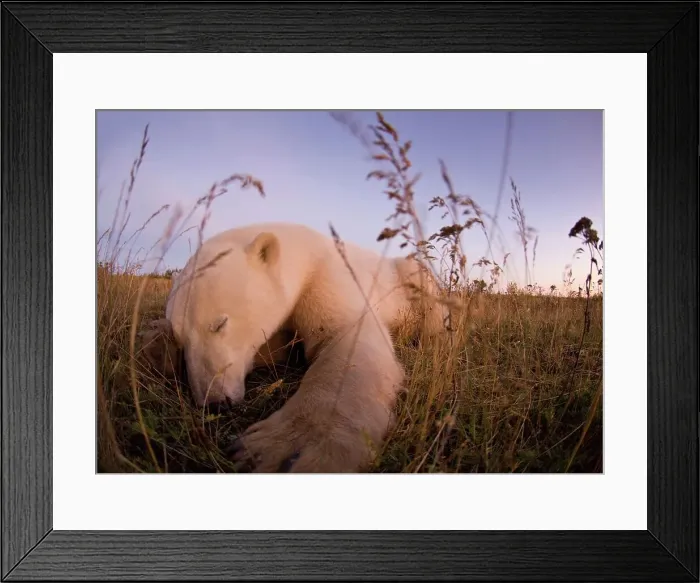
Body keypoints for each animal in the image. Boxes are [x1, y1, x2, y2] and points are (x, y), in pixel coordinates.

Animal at [141, 221, 448, 473]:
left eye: (219, 323)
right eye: (182, 340)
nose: (215, 400)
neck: (301, 251)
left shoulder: (326, 274)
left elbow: (347, 338)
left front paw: (288, 449)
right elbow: (275, 349)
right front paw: (157, 347)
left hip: (408, 279)